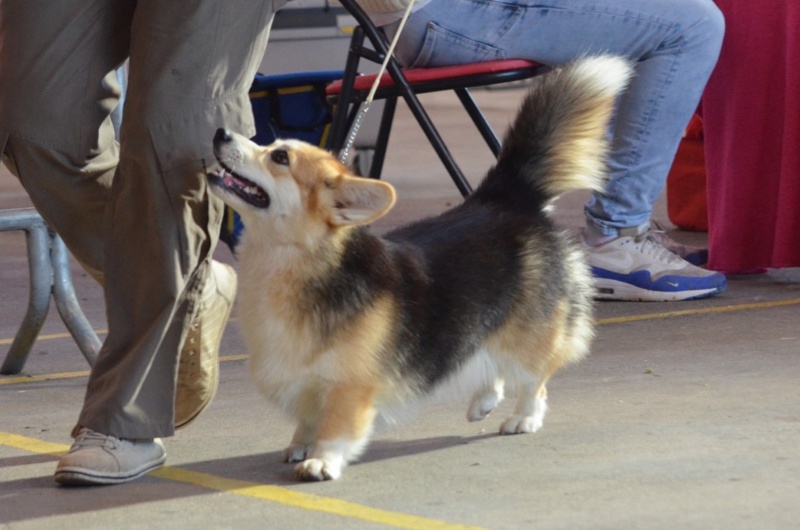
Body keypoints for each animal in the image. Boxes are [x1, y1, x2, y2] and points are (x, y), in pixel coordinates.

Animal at [209, 54, 636, 478]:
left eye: (280, 157)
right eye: (270, 144)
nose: (219, 133)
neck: (291, 260)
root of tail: (505, 198)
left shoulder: (350, 384)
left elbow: (336, 426)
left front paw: (321, 460)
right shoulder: (305, 380)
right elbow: (308, 417)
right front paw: (299, 444)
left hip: (531, 332)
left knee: (535, 377)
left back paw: (524, 418)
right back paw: (483, 402)